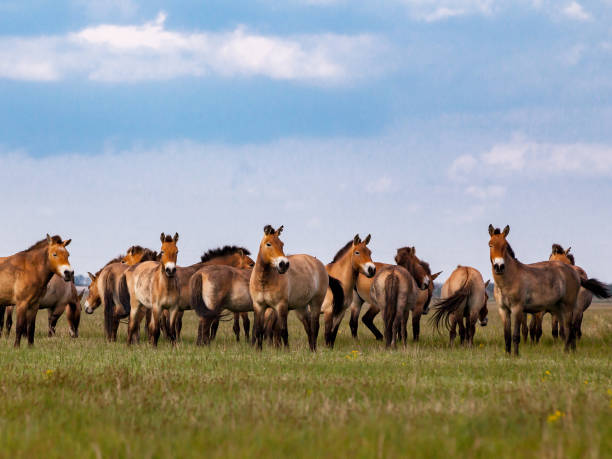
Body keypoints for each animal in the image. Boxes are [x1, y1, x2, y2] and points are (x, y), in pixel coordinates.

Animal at [488, 226, 608, 356]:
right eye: (490, 244)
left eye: (505, 246)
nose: (499, 267)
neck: (510, 279)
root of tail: (574, 272)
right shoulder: (503, 310)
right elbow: (507, 335)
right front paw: (507, 355)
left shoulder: (517, 308)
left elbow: (515, 335)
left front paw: (516, 355)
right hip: (559, 309)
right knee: (567, 330)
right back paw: (571, 350)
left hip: (568, 307)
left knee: (568, 328)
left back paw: (566, 352)